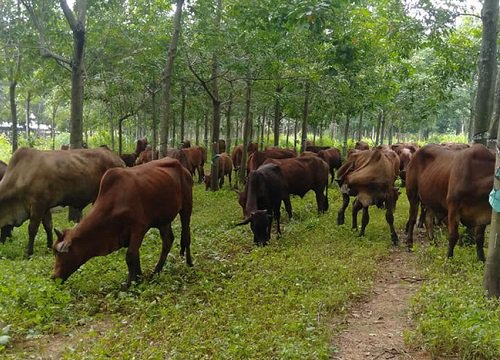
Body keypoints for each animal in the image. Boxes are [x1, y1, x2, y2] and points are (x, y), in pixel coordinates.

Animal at [52, 159, 193, 288]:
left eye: (60, 254)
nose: (53, 277)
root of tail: (182, 167)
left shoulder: (139, 228)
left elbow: (130, 256)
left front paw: (128, 284)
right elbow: (135, 256)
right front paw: (138, 280)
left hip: (186, 208)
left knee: (186, 236)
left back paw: (189, 263)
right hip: (163, 220)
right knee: (168, 241)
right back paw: (156, 271)